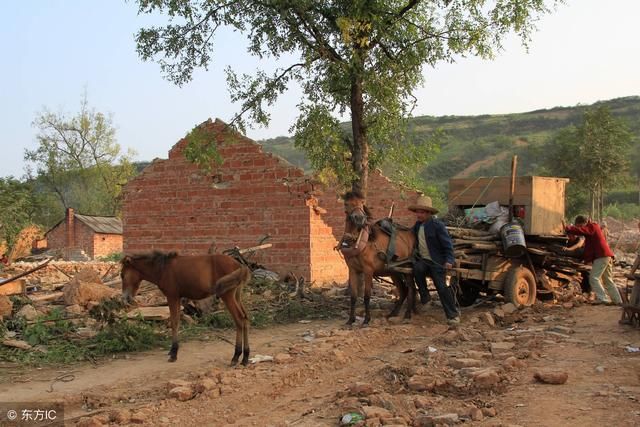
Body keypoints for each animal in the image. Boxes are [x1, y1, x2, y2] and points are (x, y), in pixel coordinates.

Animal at [121, 252, 251, 366]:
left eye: (122, 275)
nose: (125, 298)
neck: (163, 269)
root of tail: (240, 265)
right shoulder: (177, 298)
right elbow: (176, 321)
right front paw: (171, 351)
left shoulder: (172, 297)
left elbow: (174, 322)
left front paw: (174, 353)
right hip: (237, 295)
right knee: (245, 318)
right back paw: (245, 358)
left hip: (227, 295)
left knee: (239, 319)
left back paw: (236, 357)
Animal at [340, 191, 416, 324]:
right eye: (346, 203)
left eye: (362, 202)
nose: (359, 218)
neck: (358, 241)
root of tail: (410, 233)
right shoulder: (353, 270)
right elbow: (353, 296)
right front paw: (351, 320)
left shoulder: (368, 270)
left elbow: (366, 296)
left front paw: (366, 319)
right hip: (394, 272)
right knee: (403, 290)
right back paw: (393, 313)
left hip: (407, 267)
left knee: (411, 288)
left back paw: (407, 314)